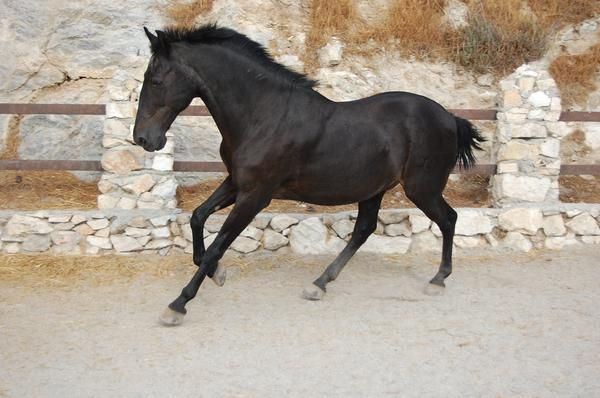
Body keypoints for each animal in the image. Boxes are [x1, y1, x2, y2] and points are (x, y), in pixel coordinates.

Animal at [131, 24, 482, 324]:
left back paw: (437, 280)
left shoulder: (255, 196)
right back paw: (319, 283)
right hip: (374, 189)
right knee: (365, 229)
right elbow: (198, 217)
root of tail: (450, 118)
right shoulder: (236, 183)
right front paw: (218, 274)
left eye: (155, 80)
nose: (143, 139)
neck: (264, 116)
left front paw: (178, 304)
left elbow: (218, 244)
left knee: (448, 219)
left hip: (421, 188)